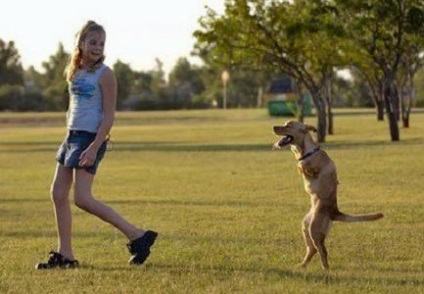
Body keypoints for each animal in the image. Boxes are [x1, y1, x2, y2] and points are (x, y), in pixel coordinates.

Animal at [274, 119, 382, 268]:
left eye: (288, 125)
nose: (273, 127)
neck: (307, 151)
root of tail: (334, 212)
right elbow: (300, 165)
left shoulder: (315, 169)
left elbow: (304, 166)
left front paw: (302, 165)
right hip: (306, 226)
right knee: (313, 249)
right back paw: (303, 265)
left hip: (314, 228)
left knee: (322, 251)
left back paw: (325, 268)